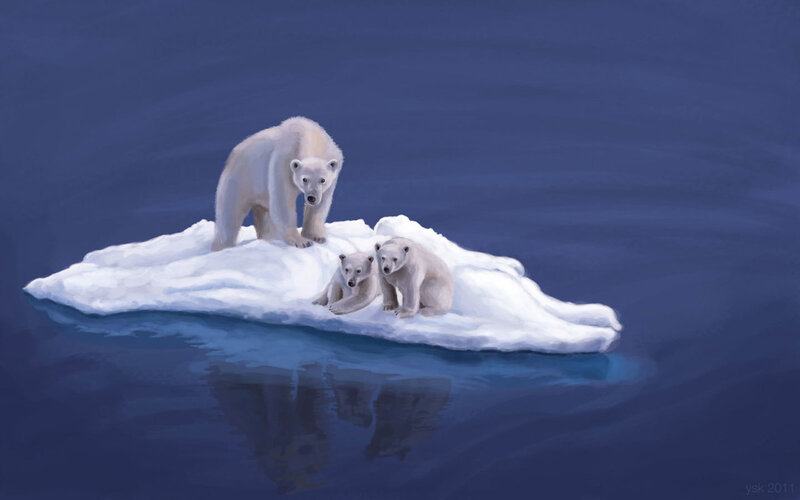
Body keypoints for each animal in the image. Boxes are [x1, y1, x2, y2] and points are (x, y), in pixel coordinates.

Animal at [211, 116, 343, 251]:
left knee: (264, 217)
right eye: (304, 179)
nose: (311, 197)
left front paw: (316, 236)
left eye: (323, 180)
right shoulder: (283, 161)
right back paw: (221, 247)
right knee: (229, 217)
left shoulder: (334, 167)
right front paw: (301, 242)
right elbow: (283, 201)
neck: (310, 135)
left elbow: (321, 204)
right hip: (240, 179)